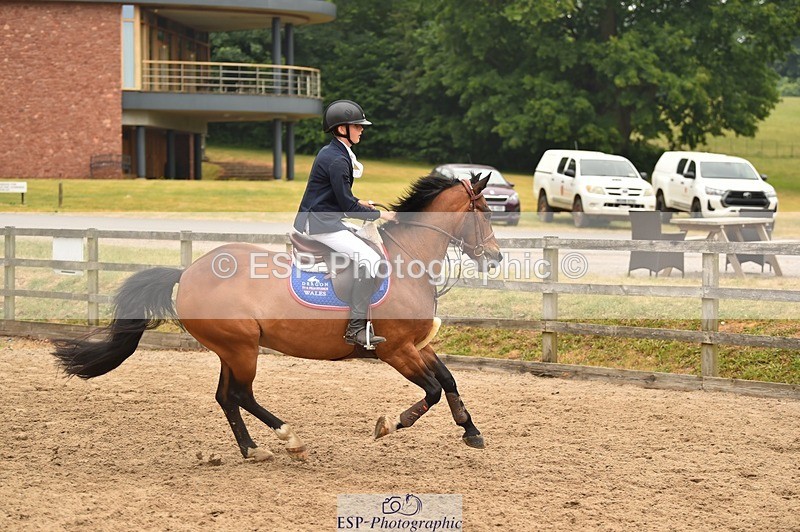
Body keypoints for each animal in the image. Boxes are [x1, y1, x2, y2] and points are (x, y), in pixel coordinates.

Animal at [53, 173, 503, 462]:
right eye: (483, 211)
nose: (496, 257)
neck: (408, 259)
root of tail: (188, 271)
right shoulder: (395, 350)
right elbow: (432, 390)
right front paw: (390, 424)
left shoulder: (414, 347)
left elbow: (448, 380)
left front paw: (471, 431)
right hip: (241, 347)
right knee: (241, 395)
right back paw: (290, 440)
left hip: (231, 349)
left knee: (226, 397)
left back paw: (253, 449)